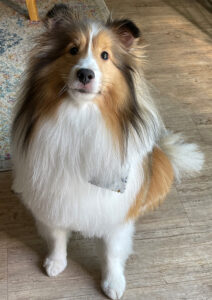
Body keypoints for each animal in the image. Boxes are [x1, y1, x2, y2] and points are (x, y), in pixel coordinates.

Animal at [11, 4, 204, 300]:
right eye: (72, 50)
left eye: (105, 55)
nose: (85, 74)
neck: (81, 116)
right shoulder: (53, 194)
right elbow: (56, 236)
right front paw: (56, 263)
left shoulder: (116, 212)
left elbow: (112, 253)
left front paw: (113, 283)